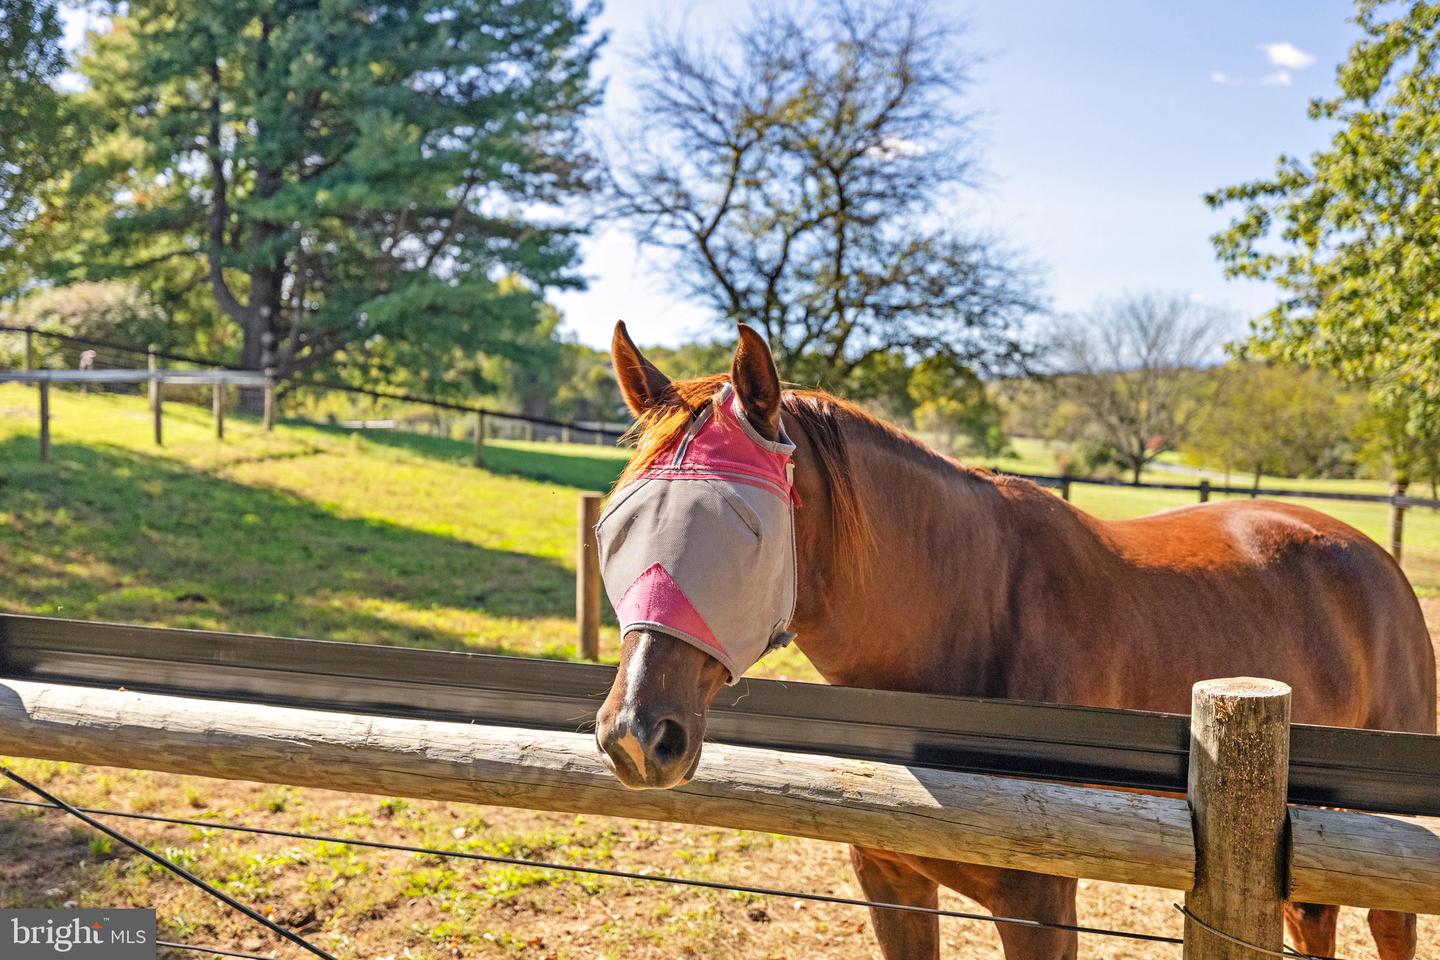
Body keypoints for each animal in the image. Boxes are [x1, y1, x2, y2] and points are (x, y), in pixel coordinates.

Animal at [590, 325, 1434, 960]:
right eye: (618, 525)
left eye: (747, 529)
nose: (637, 733)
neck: (970, 618)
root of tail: (1372, 556)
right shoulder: (894, 885)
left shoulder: (1039, 904)